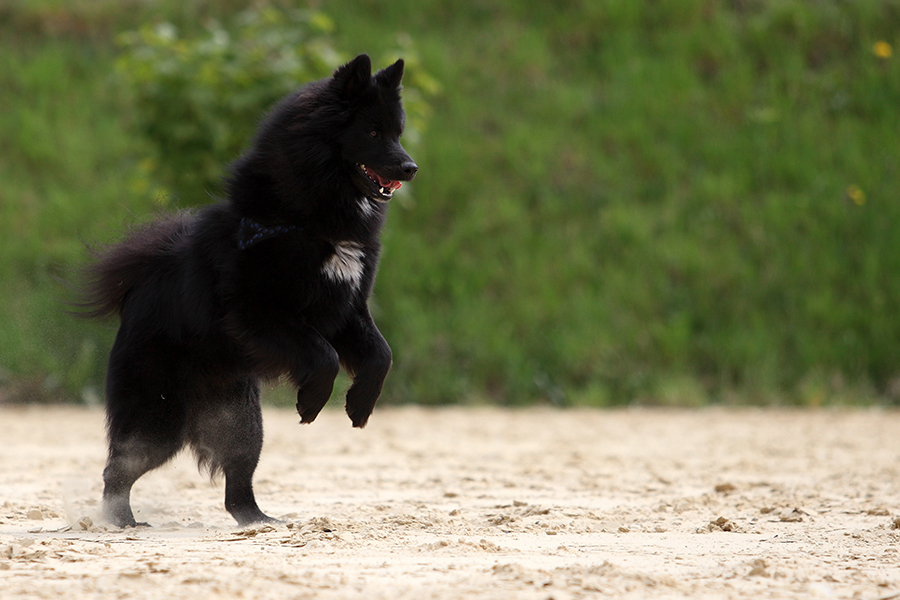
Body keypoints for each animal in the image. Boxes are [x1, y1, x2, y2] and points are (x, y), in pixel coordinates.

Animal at [77, 55, 414, 524]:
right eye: (372, 132)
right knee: (118, 468)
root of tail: (139, 287)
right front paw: (312, 403)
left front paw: (359, 406)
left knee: (236, 486)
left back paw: (261, 522)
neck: (309, 219)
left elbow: (382, 355)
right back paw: (120, 522)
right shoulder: (260, 313)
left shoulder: (349, 309)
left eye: (397, 132)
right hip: (157, 415)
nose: (411, 168)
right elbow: (324, 356)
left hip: (242, 422)